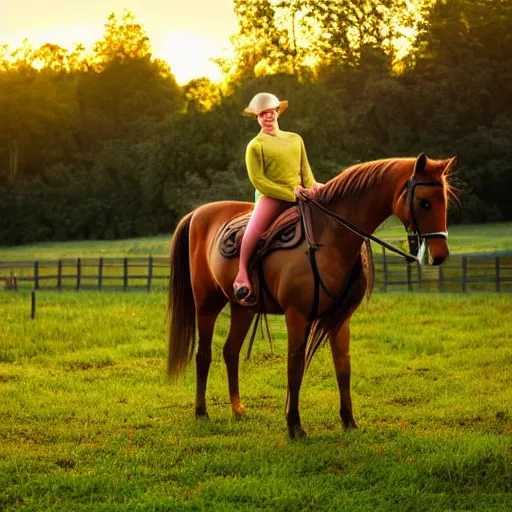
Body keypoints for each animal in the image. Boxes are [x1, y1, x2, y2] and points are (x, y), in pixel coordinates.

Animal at [167, 152, 456, 436]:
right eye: (424, 203)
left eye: (444, 202)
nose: (440, 254)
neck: (328, 237)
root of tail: (198, 213)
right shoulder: (297, 315)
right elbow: (295, 367)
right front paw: (294, 425)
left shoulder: (341, 319)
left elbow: (343, 367)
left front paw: (348, 421)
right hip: (207, 304)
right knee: (204, 355)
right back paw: (201, 412)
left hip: (242, 307)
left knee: (230, 351)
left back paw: (238, 409)